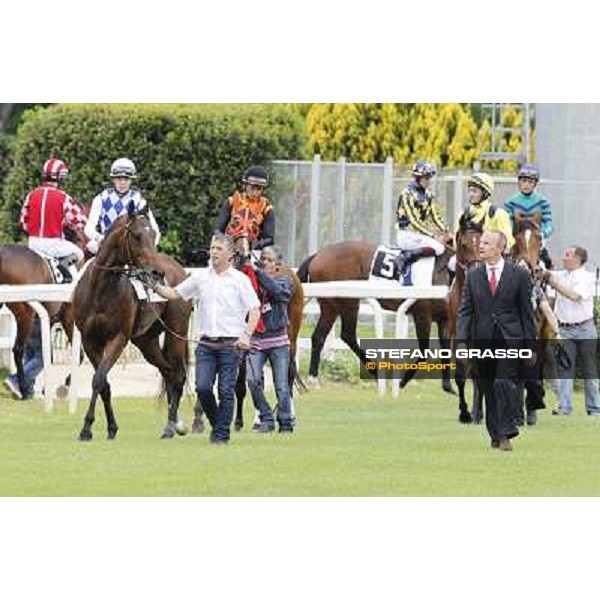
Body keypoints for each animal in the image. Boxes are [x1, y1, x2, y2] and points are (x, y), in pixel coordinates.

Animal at [72, 211, 192, 440]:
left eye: (153, 234)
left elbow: (98, 379)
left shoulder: (117, 338)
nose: (157, 274)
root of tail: (180, 270)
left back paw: (172, 426)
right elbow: (104, 384)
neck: (101, 290)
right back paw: (173, 423)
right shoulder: (89, 340)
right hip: (146, 341)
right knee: (168, 372)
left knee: (179, 375)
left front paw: (86, 428)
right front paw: (110, 427)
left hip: (176, 332)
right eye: (136, 236)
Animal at [296, 239, 454, 394]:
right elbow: (424, 349)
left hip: (331, 307)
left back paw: (312, 380)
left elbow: (446, 349)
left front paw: (448, 387)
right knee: (347, 335)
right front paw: (402, 381)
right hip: (346, 302)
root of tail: (318, 255)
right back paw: (375, 372)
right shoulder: (422, 314)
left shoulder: (444, 319)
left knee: (320, 337)